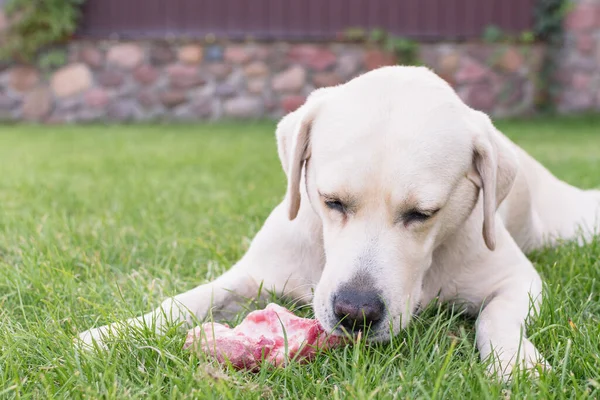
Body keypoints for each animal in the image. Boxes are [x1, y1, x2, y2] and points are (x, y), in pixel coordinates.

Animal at [79, 65, 600, 378]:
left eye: (423, 214)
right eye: (332, 201)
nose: (356, 312)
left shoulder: (519, 280)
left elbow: (497, 316)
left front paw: (515, 363)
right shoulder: (250, 273)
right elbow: (185, 301)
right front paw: (112, 333)